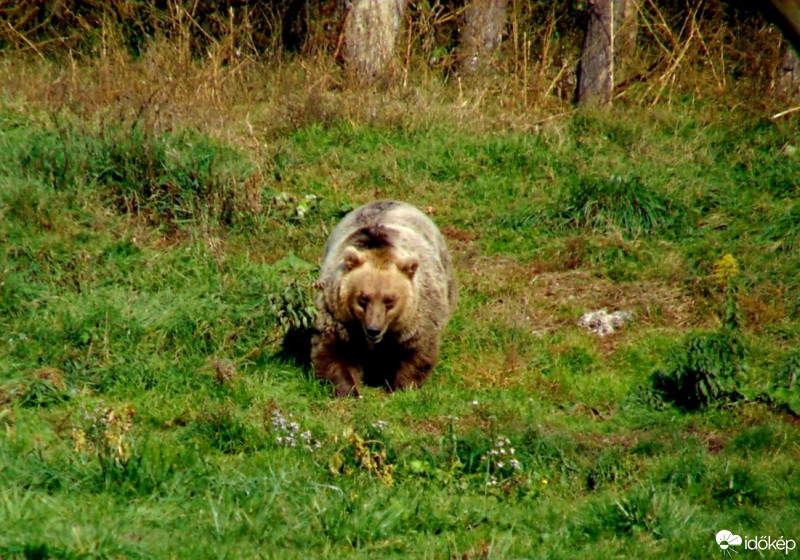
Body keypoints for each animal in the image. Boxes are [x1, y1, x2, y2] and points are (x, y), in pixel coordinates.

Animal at [310, 199, 456, 396]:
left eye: (389, 300)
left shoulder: (418, 315)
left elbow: (416, 350)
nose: (373, 330)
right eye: (363, 298)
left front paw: (402, 387)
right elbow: (334, 350)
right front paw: (349, 389)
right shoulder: (337, 315)